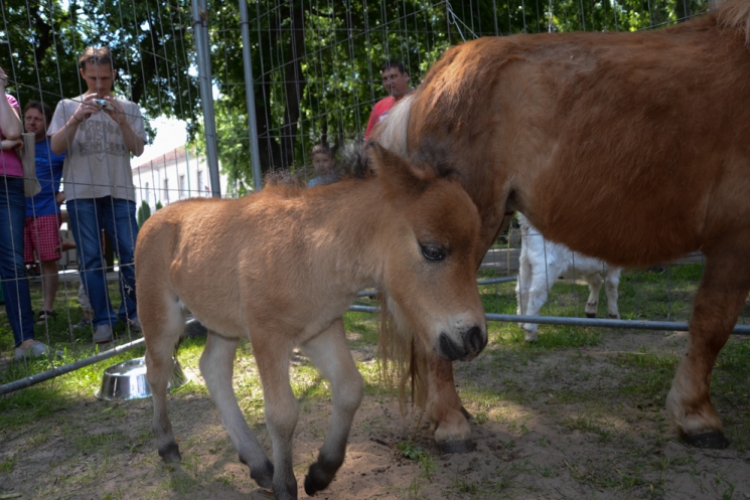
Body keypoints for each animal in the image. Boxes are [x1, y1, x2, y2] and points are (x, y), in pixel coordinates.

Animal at [135, 142, 488, 500]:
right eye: (432, 250)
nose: (475, 338)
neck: (311, 252)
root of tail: (153, 219)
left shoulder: (321, 329)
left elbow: (349, 389)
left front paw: (320, 472)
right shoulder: (268, 337)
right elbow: (281, 414)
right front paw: (285, 486)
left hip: (224, 325)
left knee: (213, 368)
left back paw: (259, 464)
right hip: (161, 317)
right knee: (157, 370)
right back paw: (168, 445)